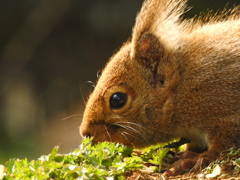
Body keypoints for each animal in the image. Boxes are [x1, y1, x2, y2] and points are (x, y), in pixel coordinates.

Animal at [80, 0, 240, 175]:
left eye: (117, 100)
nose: (85, 133)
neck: (181, 88)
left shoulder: (224, 109)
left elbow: (222, 145)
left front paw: (195, 159)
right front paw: (187, 154)